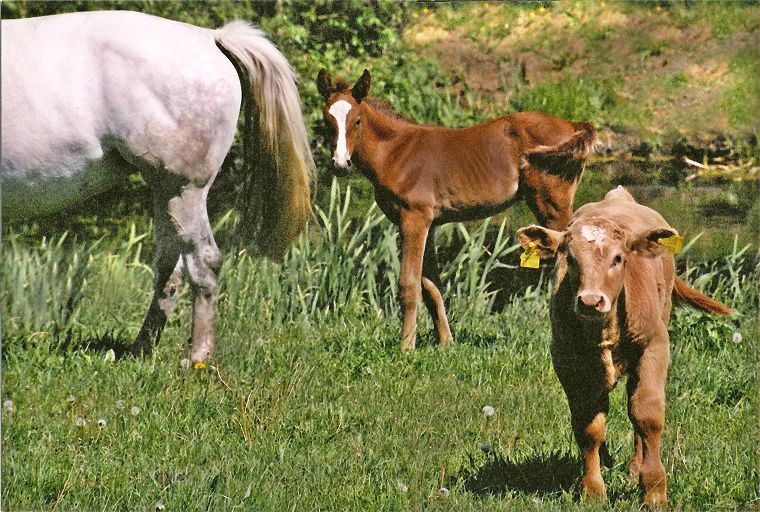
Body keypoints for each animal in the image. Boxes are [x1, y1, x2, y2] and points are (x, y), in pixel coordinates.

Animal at [1, 11, 314, 364]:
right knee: (170, 269)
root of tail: (211, 37)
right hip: (165, 192)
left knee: (203, 263)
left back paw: (198, 358)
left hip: (184, 190)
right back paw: (140, 349)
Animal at [318, 70, 596, 352]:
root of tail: (572, 124)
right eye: (326, 120)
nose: (340, 164)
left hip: (552, 206)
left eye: (357, 121)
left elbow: (409, 284)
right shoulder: (428, 224)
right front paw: (446, 343)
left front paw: (406, 347)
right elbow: (431, 286)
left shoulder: (413, 218)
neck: (397, 152)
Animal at [516, 186, 732, 506]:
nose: (590, 301)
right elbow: (588, 424)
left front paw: (653, 490)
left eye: (618, 258)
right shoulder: (566, 358)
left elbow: (646, 414)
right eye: (571, 259)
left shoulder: (654, 346)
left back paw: (634, 467)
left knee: (635, 404)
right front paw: (593, 490)